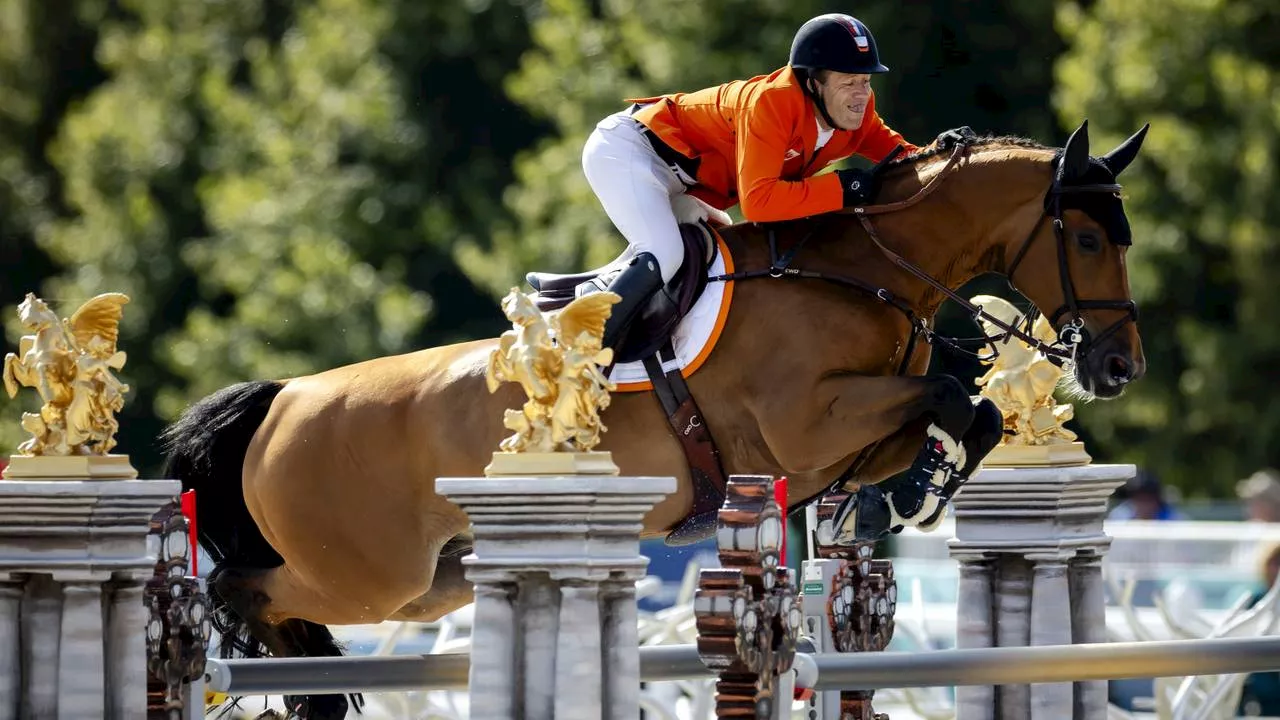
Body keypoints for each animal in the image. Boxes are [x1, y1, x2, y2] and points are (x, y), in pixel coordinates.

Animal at [162, 117, 1152, 712]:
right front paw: (918, 490)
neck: (859, 270)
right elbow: (951, 398)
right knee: (240, 587)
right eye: (1087, 237)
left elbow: (950, 413)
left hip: (439, 575)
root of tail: (285, 399)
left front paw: (903, 495)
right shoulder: (807, 423)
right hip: (373, 574)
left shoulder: (835, 439)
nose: (1117, 367)